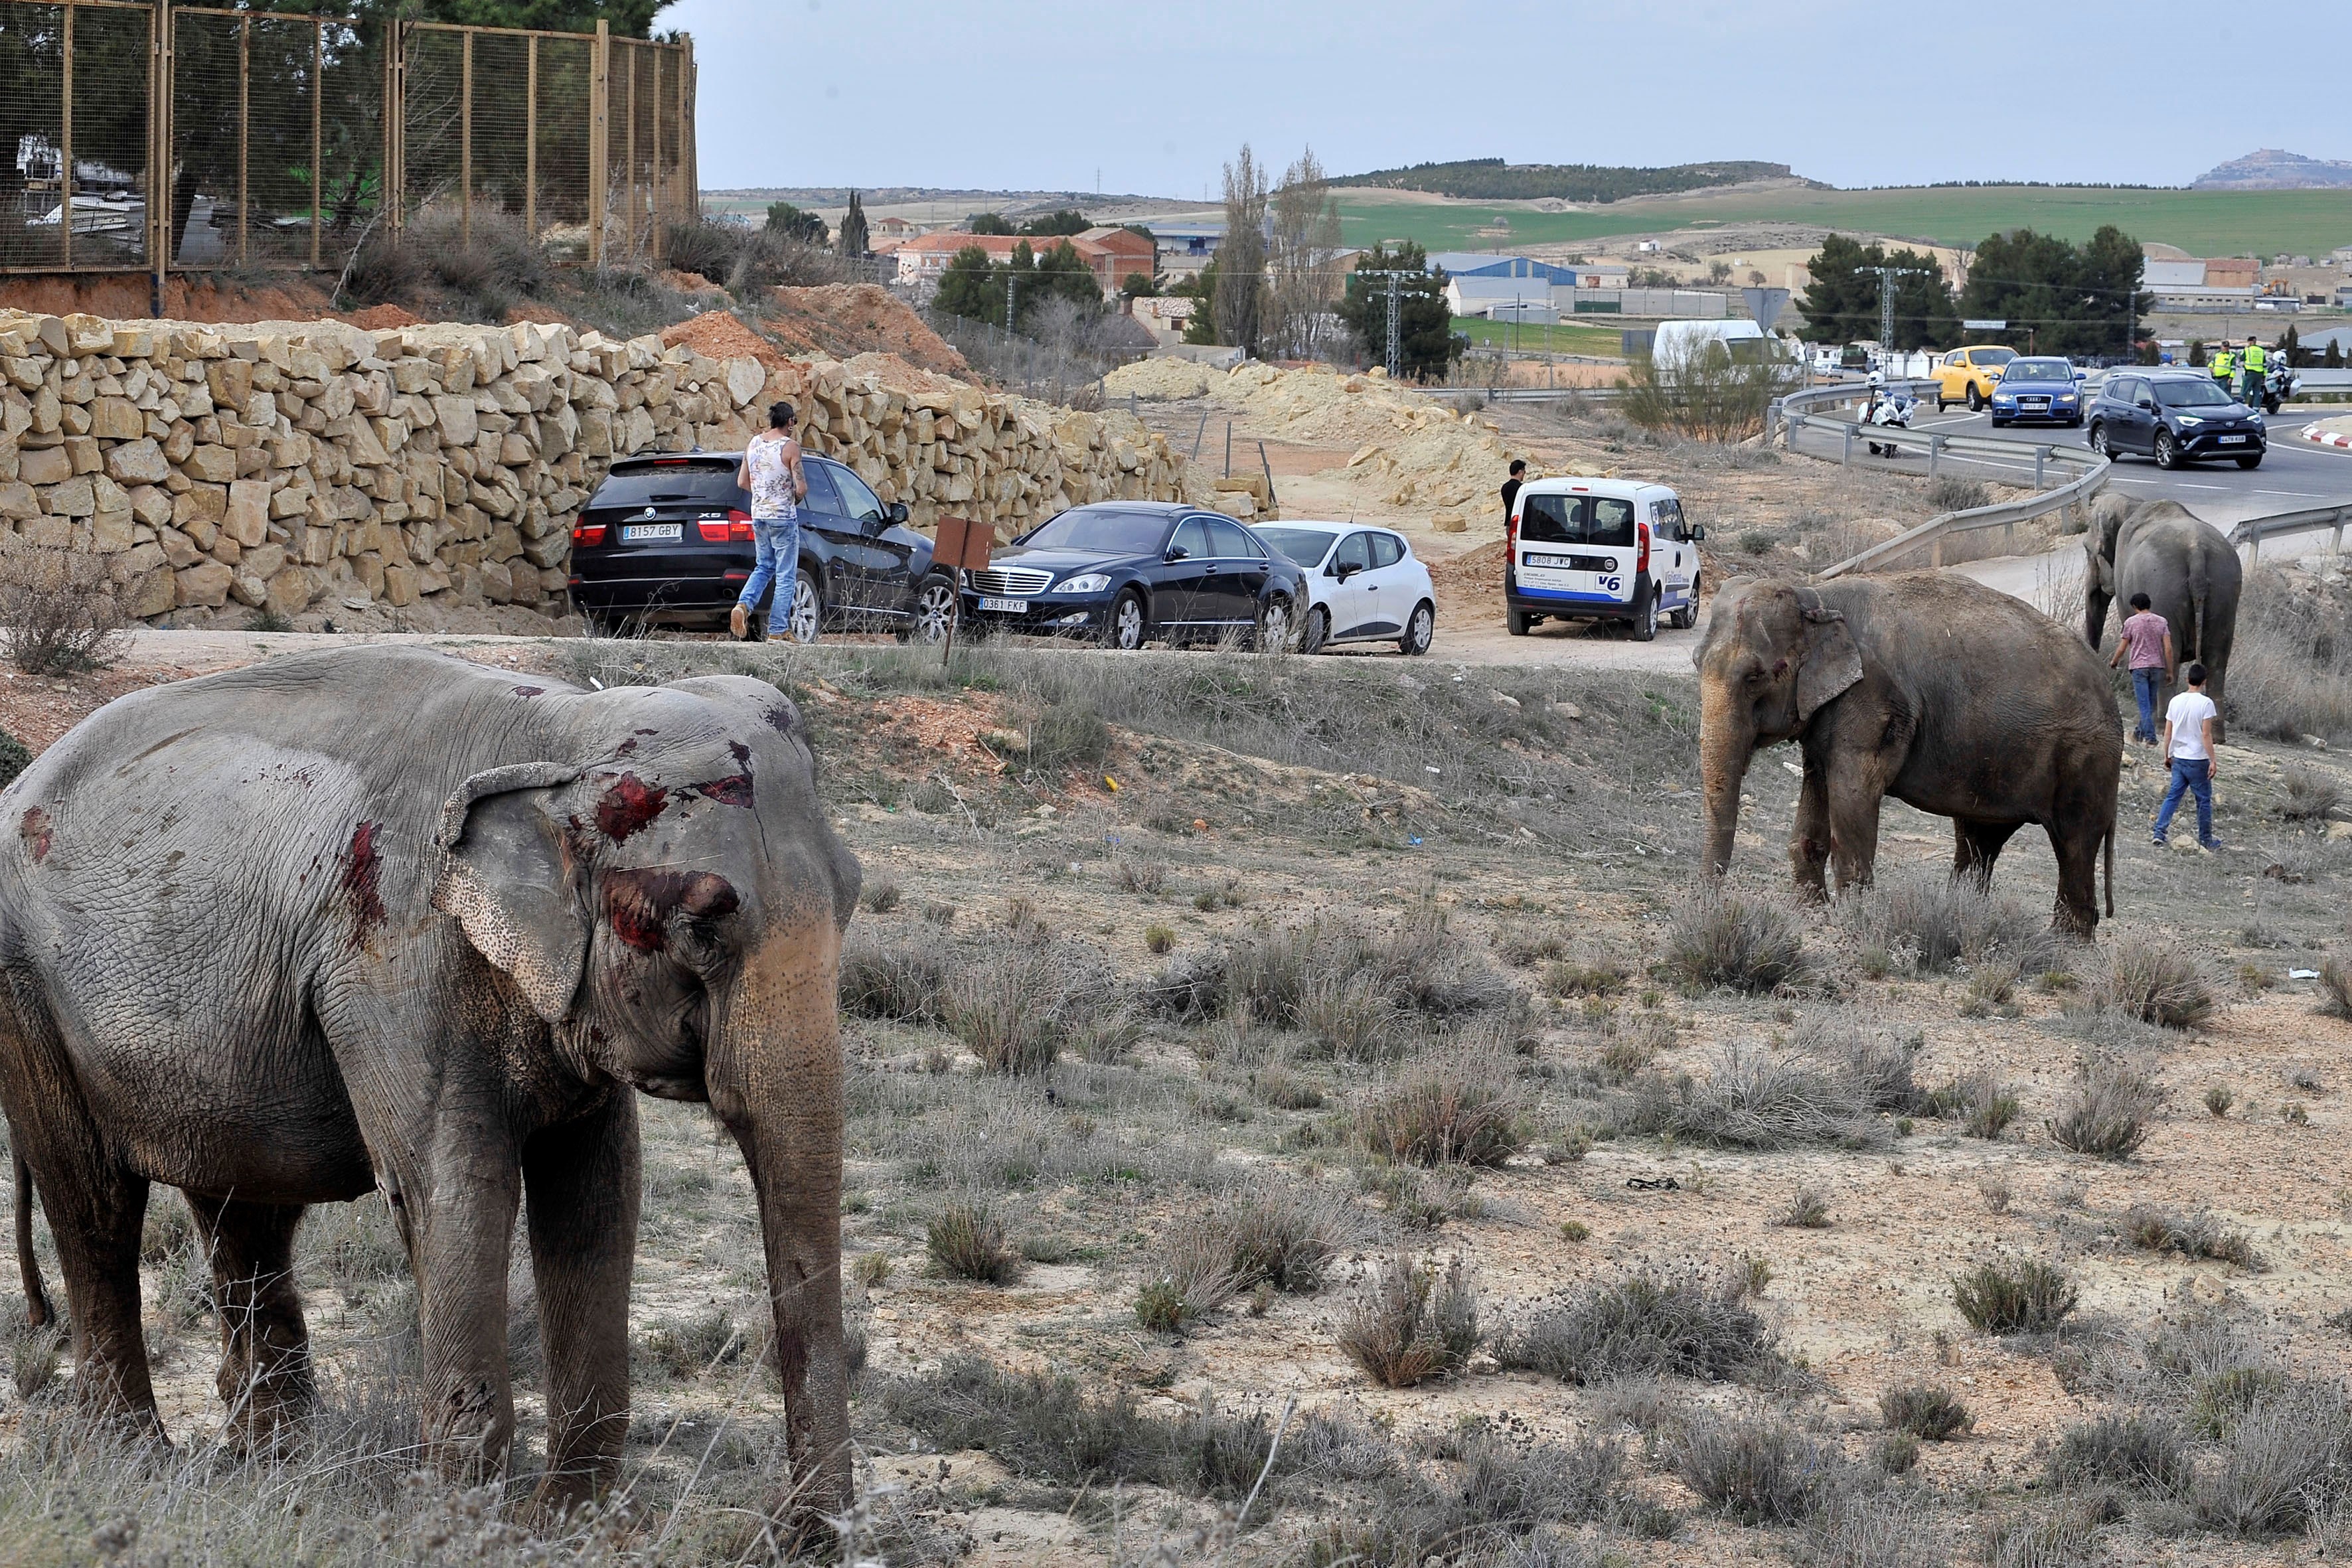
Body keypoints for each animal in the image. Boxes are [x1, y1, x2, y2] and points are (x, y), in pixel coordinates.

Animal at [0, 644, 865, 1523]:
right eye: (700, 927)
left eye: (855, 894)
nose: (800, 1531)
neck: (562, 731)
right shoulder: (398, 959)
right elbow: (454, 1188)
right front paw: (455, 1523)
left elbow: (597, 1190)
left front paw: (565, 1523)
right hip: (27, 993)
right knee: (96, 1205)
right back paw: (136, 1459)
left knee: (246, 1209)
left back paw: (273, 1467)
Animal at [1703, 580, 2126, 940]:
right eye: (1695, 662)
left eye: (1755, 677)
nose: (1713, 904)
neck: (1816, 597)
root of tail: (2110, 689)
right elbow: (1817, 787)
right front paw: (1811, 911)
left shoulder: (1873, 703)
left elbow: (1853, 792)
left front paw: (1853, 920)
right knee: (1979, 838)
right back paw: (1965, 915)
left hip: (2087, 760)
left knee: (2074, 841)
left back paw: (2065, 943)